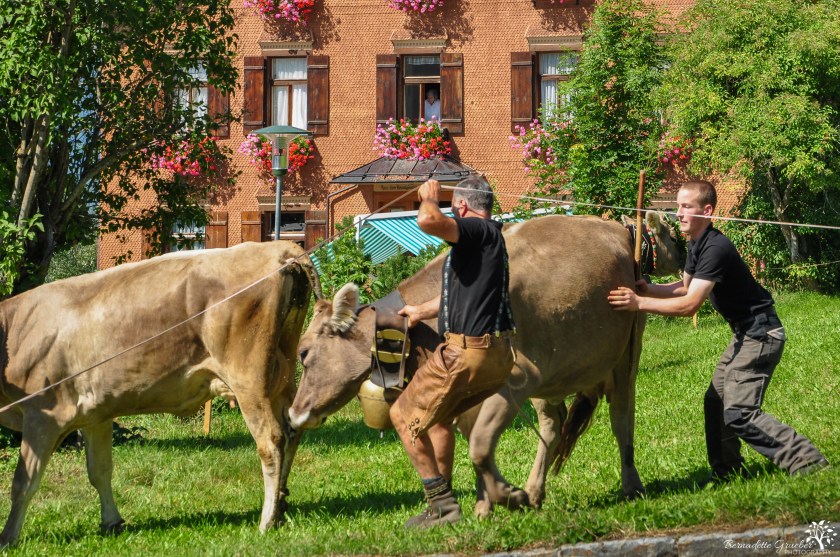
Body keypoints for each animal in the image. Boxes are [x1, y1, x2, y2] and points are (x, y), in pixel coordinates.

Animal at [0, 241, 318, 546]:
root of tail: (279, 249)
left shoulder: (42, 415)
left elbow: (23, 482)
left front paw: (8, 538)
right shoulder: (96, 416)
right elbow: (99, 471)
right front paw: (112, 521)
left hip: (248, 381)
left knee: (271, 442)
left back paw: (267, 520)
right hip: (282, 373)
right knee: (291, 432)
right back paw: (281, 506)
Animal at [289, 212, 681, 518]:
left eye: (304, 353)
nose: (293, 413)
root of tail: (616, 228)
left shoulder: (517, 379)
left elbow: (478, 445)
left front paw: (506, 497)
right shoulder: (468, 394)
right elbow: (474, 442)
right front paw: (485, 505)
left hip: (626, 353)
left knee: (622, 419)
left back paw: (631, 485)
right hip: (551, 373)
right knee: (552, 425)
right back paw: (536, 491)